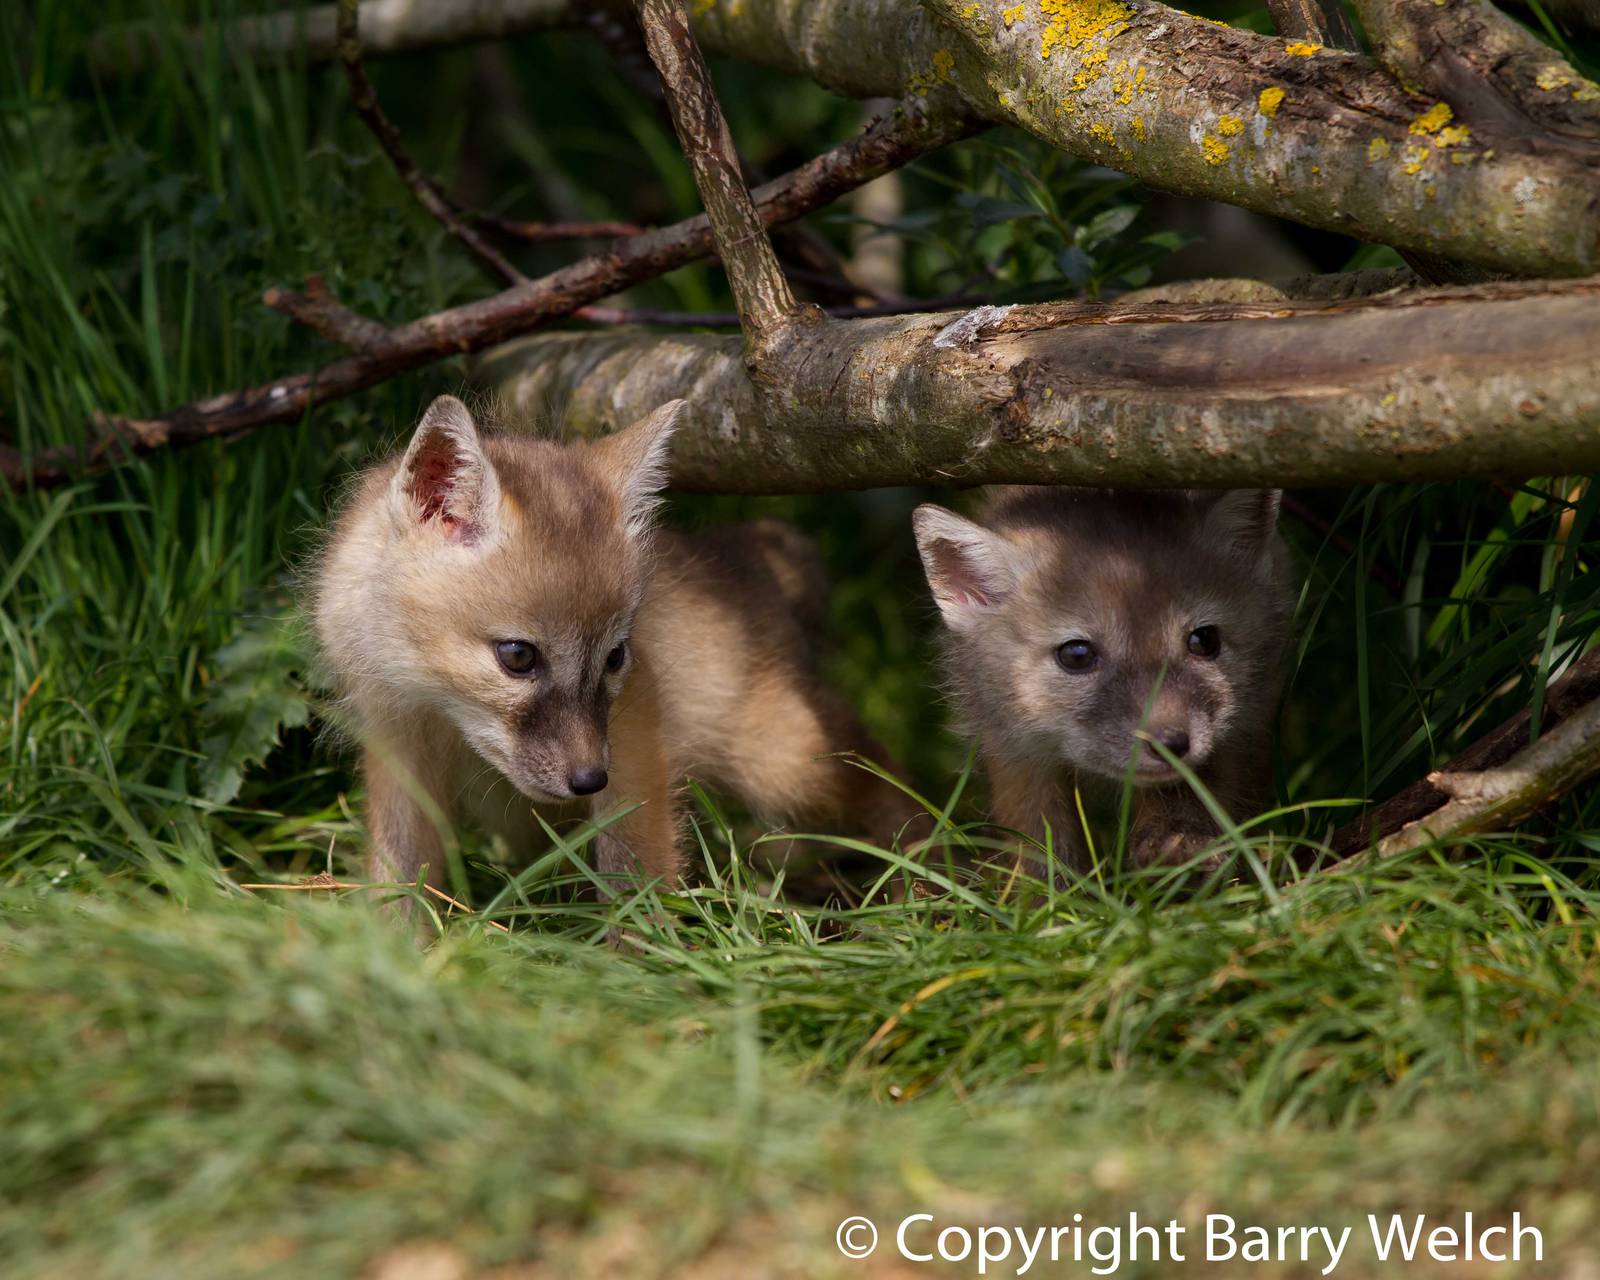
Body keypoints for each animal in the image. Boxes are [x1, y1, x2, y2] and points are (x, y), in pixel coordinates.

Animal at [313, 394, 907, 899]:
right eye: (518, 656)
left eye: (615, 656)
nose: (588, 779)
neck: (440, 709)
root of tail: (751, 550)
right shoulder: (397, 749)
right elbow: (398, 890)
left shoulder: (635, 742)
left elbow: (635, 884)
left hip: (788, 768)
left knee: (892, 788)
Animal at [911, 486, 1295, 873]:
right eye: (1076, 655)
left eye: (1204, 640)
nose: (1170, 744)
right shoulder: (1015, 751)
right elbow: (1039, 844)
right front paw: (1046, 887)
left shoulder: (1240, 727)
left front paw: (1180, 845)